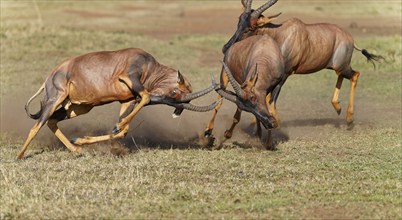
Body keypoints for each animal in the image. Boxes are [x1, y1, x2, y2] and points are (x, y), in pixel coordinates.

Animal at [18, 47, 220, 158]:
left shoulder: (128, 99)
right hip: (56, 98)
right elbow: (144, 97)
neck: (149, 66)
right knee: (37, 125)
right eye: (175, 92)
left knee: (52, 120)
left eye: (174, 102)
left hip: (77, 108)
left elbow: (124, 129)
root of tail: (51, 74)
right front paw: (117, 125)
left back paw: (76, 149)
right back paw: (20, 156)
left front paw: (87, 138)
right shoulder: (130, 77)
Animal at [223, 0, 384, 124]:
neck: (282, 34)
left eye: (251, 27)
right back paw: (337, 107)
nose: (226, 48)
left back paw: (349, 118)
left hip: (342, 67)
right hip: (336, 67)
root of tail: (350, 39)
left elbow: (271, 99)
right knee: (343, 76)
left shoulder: (284, 74)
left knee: (355, 75)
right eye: (239, 21)